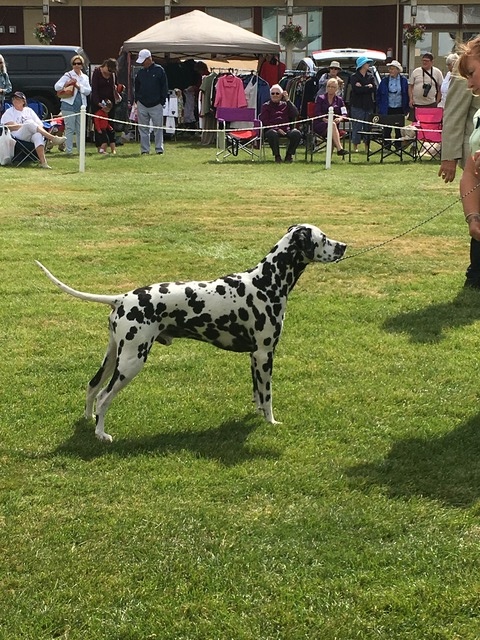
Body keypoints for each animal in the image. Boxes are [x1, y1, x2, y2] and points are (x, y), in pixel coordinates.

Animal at [36, 224, 344, 440]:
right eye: (323, 238)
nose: (343, 245)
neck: (266, 282)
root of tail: (122, 298)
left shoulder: (254, 357)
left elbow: (257, 394)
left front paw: (257, 415)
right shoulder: (265, 354)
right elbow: (267, 396)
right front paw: (271, 422)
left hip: (113, 356)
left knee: (91, 387)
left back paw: (89, 421)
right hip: (131, 363)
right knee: (103, 397)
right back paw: (101, 434)